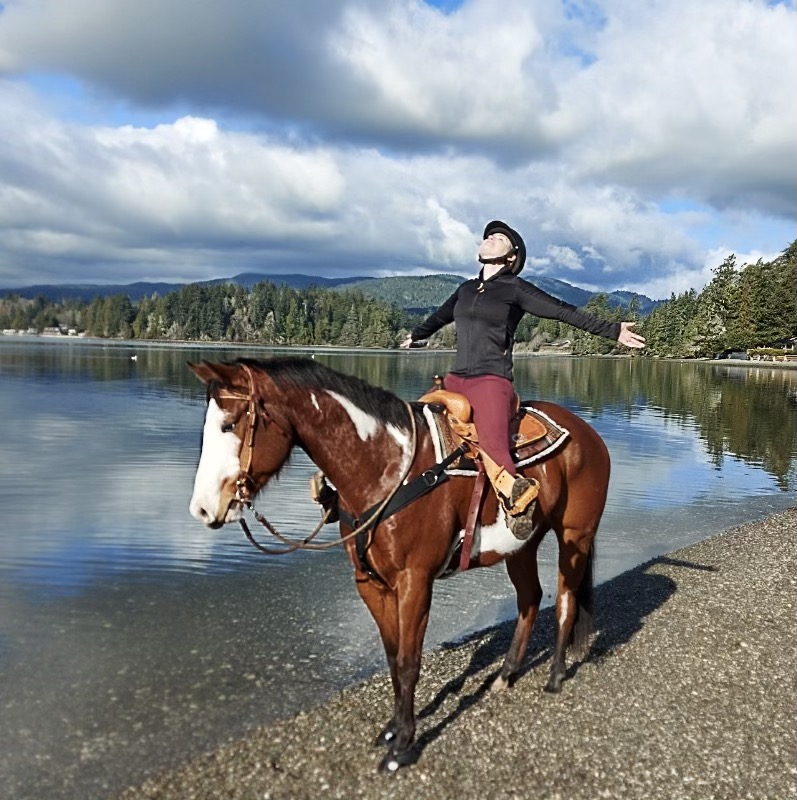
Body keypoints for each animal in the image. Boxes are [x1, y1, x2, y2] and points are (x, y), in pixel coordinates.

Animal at [187, 356, 608, 768]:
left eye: (229, 424)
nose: (202, 509)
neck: (383, 468)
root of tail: (588, 434)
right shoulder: (370, 582)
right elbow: (391, 657)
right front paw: (391, 729)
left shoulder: (414, 581)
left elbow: (408, 660)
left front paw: (403, 744)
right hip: (522, 547)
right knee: (530, 599)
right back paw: (506, 675)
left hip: (574, 537)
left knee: (565, 602)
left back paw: (555, 675)